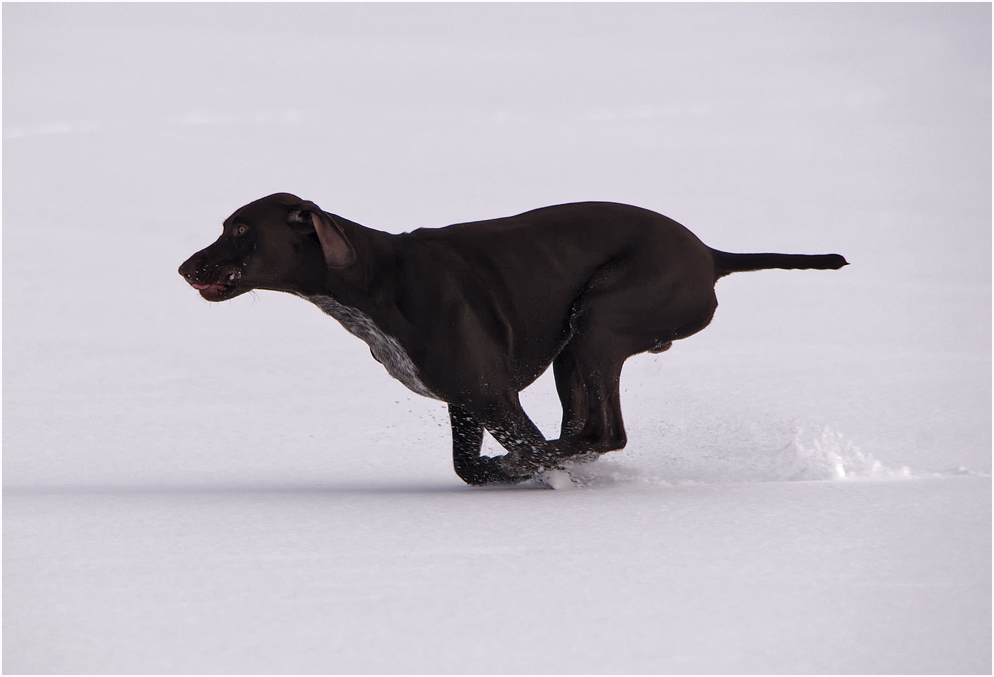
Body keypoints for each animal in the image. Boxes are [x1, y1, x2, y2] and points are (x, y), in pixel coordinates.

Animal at [178, 193, 844, 484]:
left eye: (241, 230)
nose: (185, 267)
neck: (374, 279)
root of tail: (709, 255)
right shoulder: (467, 401)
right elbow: (468, 467)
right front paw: (509, 472)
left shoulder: (493, 394)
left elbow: (521, 451)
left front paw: (523, 470)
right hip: (574, 351)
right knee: (584, 431)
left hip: (598, 325)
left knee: (603, 433)